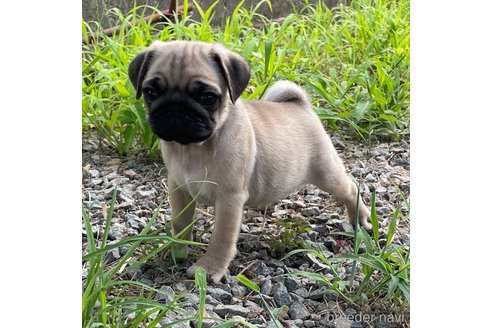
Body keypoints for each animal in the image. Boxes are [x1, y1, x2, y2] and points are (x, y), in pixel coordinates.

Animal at [129, 40, 370, 282]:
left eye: (208, 97)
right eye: (150, 93)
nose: (175, 107)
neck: (193, 148)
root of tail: (301, 105)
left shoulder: (229, 199)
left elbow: (221, 238)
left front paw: (208, 269)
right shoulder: (179, 189)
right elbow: (180, 223)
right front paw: (177, 251)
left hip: (327, 173)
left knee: (350, 189)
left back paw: (361, 219)